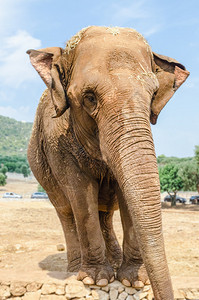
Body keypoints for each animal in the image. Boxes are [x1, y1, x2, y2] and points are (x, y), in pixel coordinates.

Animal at [26, 26, 190, 300]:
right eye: (90, 98)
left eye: (153, 95)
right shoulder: (57, 143)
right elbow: (81, 194)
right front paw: (97, 280)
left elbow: (128, 195)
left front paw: (134, 280)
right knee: (66, 212)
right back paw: (75, 270)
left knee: (105, 214)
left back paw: (112, 262)